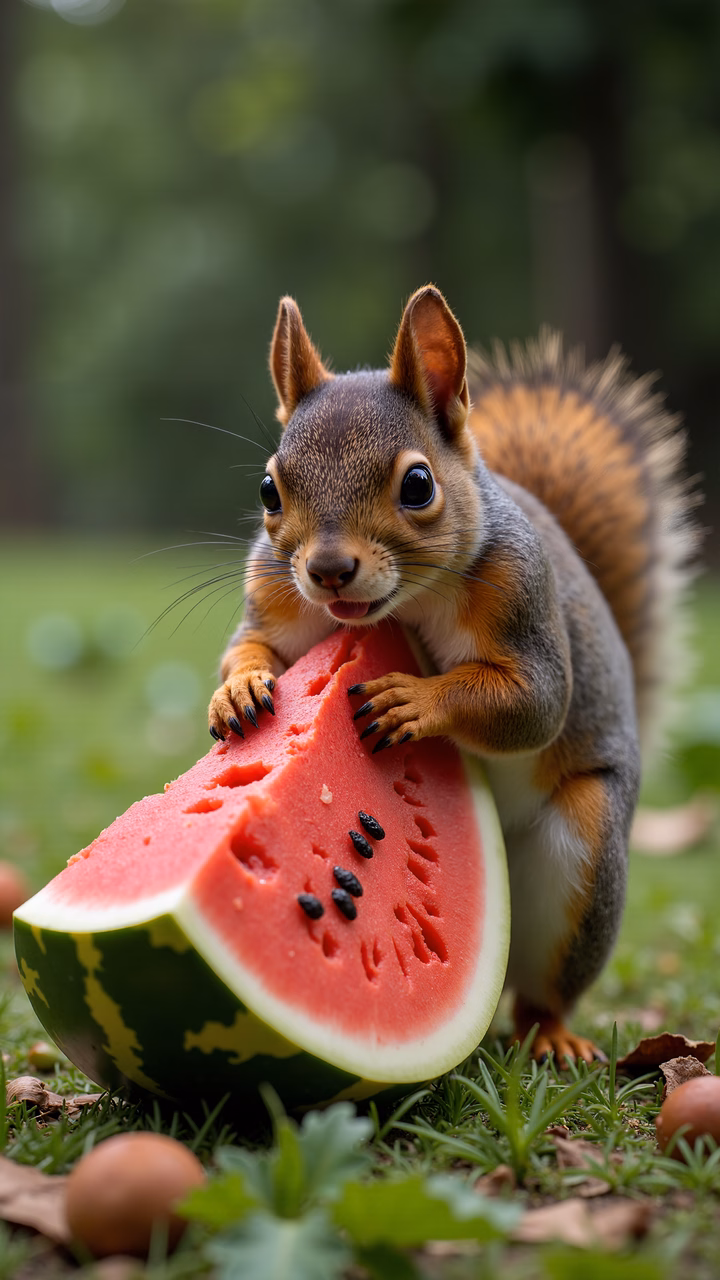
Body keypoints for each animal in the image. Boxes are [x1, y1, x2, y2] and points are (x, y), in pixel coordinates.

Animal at [208, 285, 698, 1064]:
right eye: (267, 490)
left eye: (417, 485)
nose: (327, 570)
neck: (403, 604)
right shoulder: (276, 602)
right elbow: (251, 647)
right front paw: (239, 689)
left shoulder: (522, 600)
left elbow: (532, 701)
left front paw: (415, 698)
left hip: (586, 846)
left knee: (543, 990)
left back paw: (553, 1035)